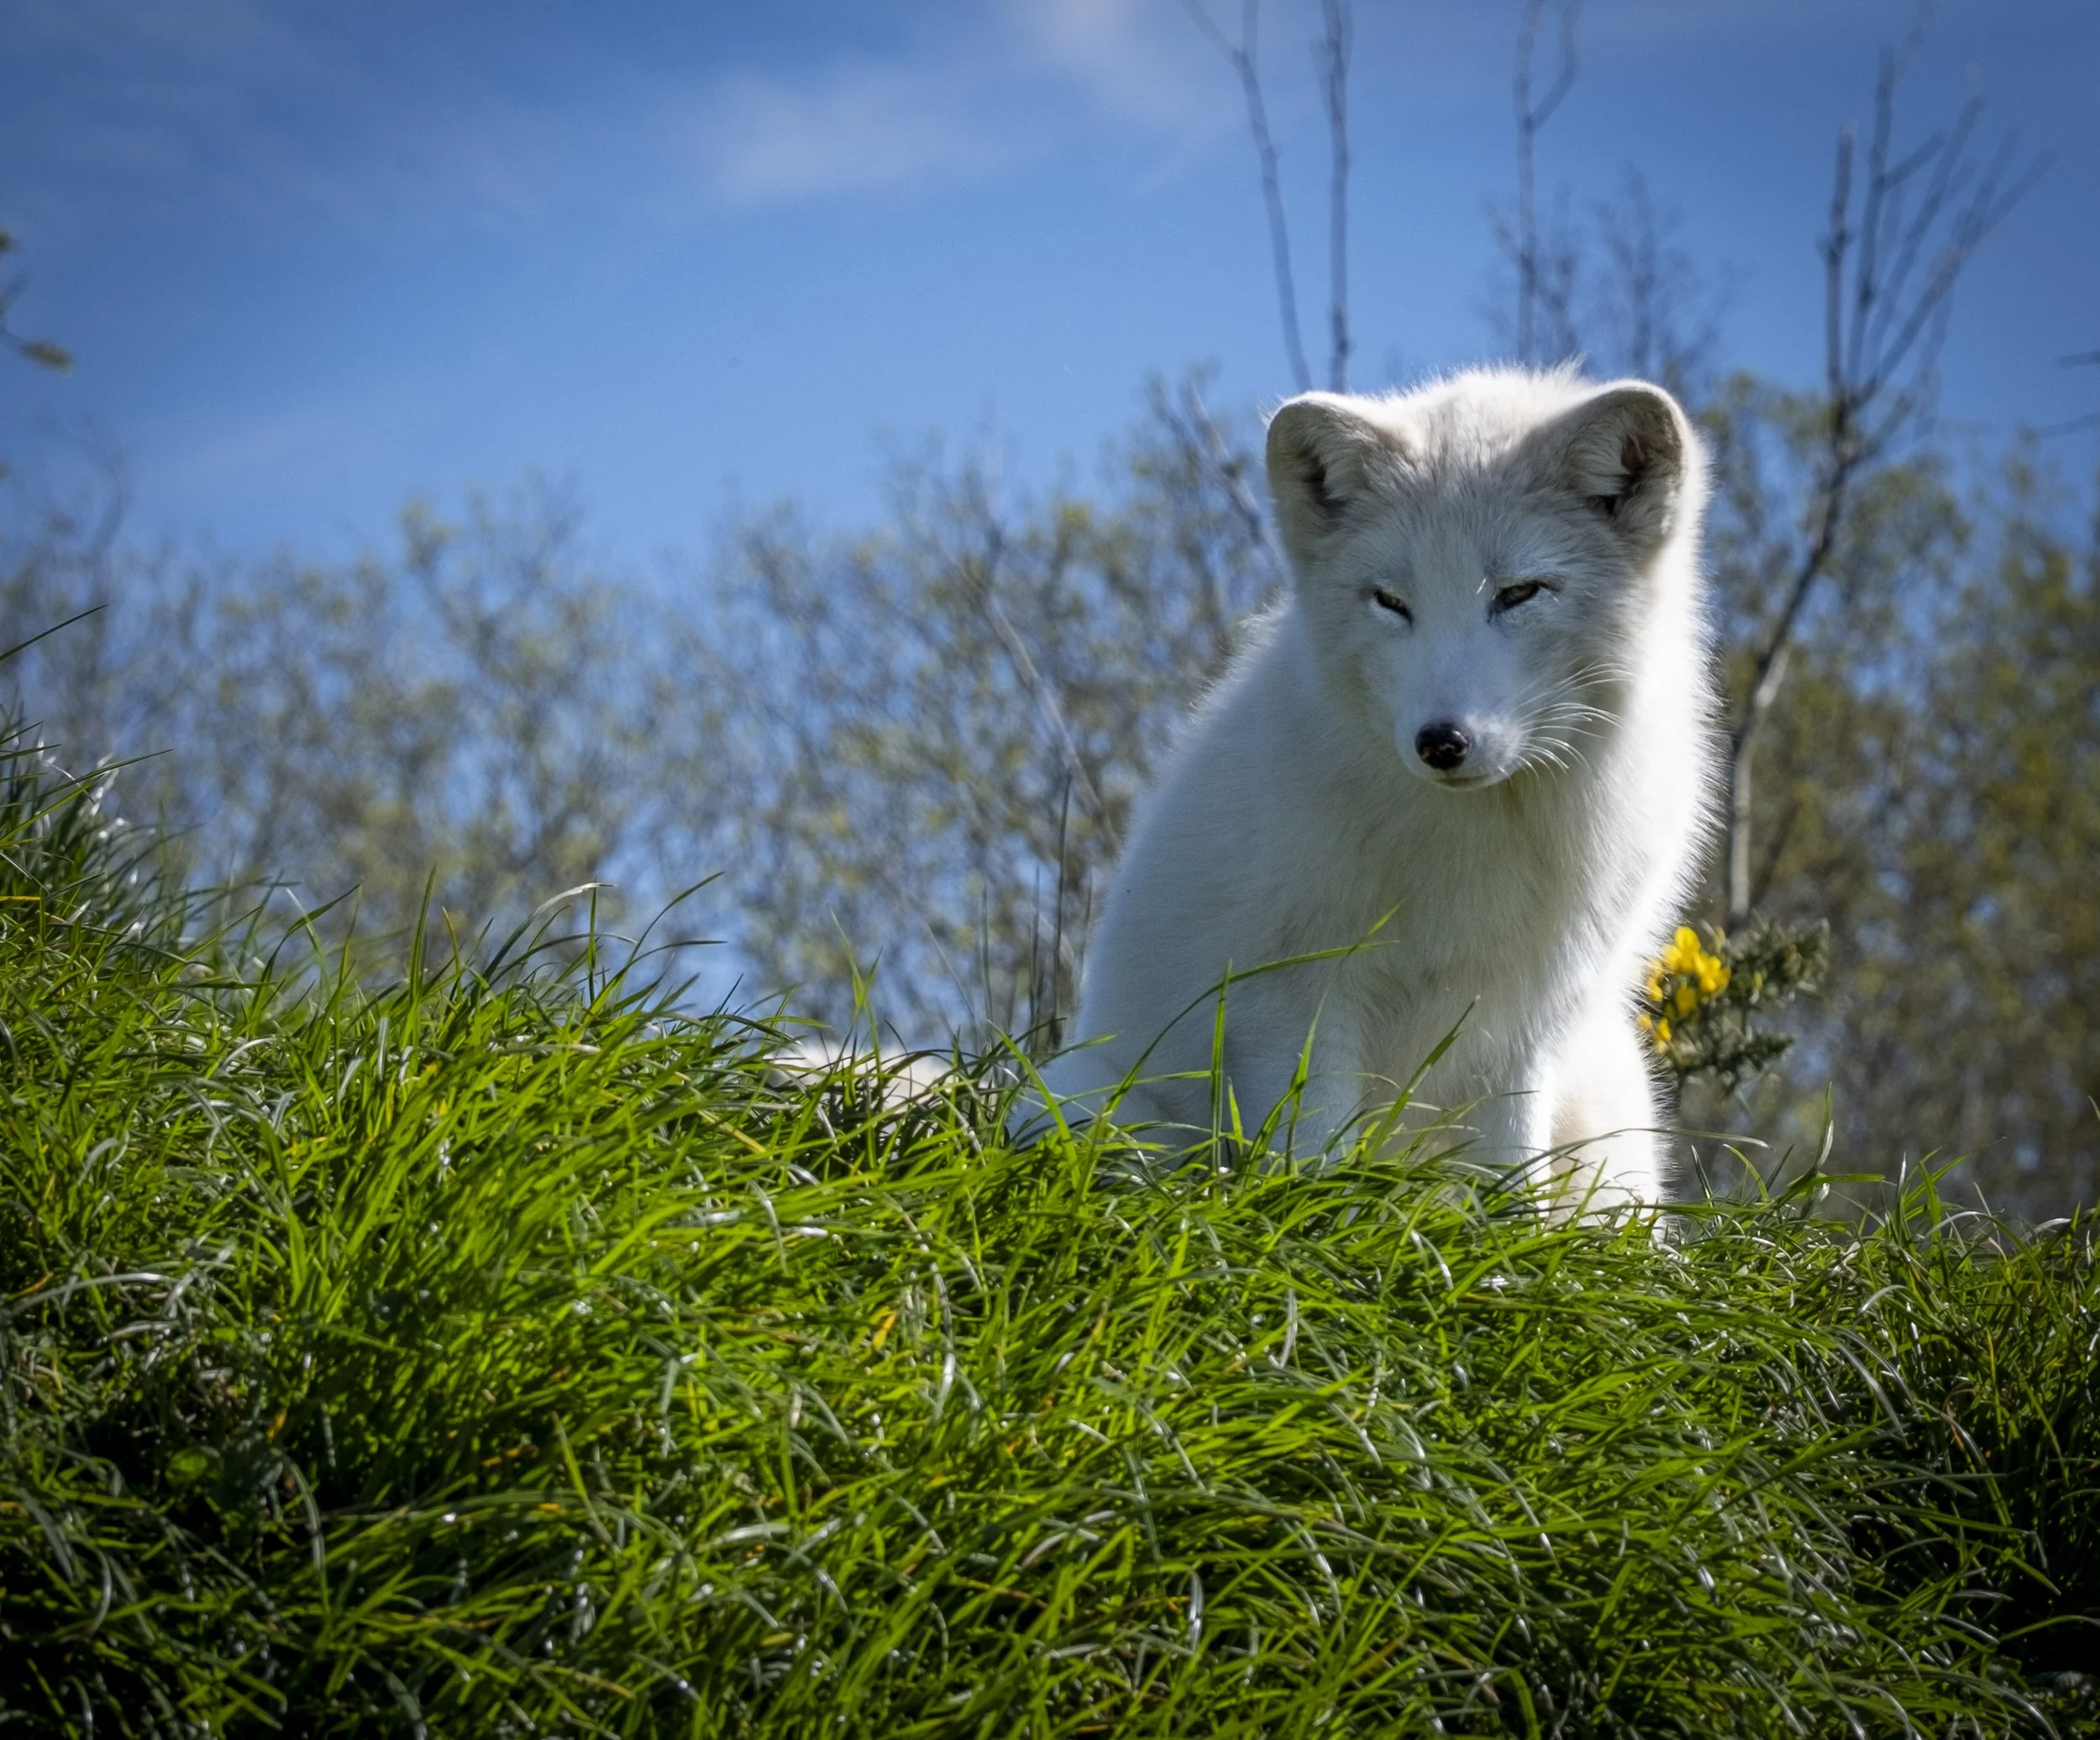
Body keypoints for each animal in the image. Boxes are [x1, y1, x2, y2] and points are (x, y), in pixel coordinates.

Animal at [1037, 367, 1719, 1207]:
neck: (1469, 850)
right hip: (1090, 1105)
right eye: (1391, 602)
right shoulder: (1296, 994)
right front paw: (1317, 1220)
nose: (1441, 741)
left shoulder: (1522, 1016)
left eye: (1522, 592)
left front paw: (1506, 1239)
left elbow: (1511, 1173)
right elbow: (1313, 1147)